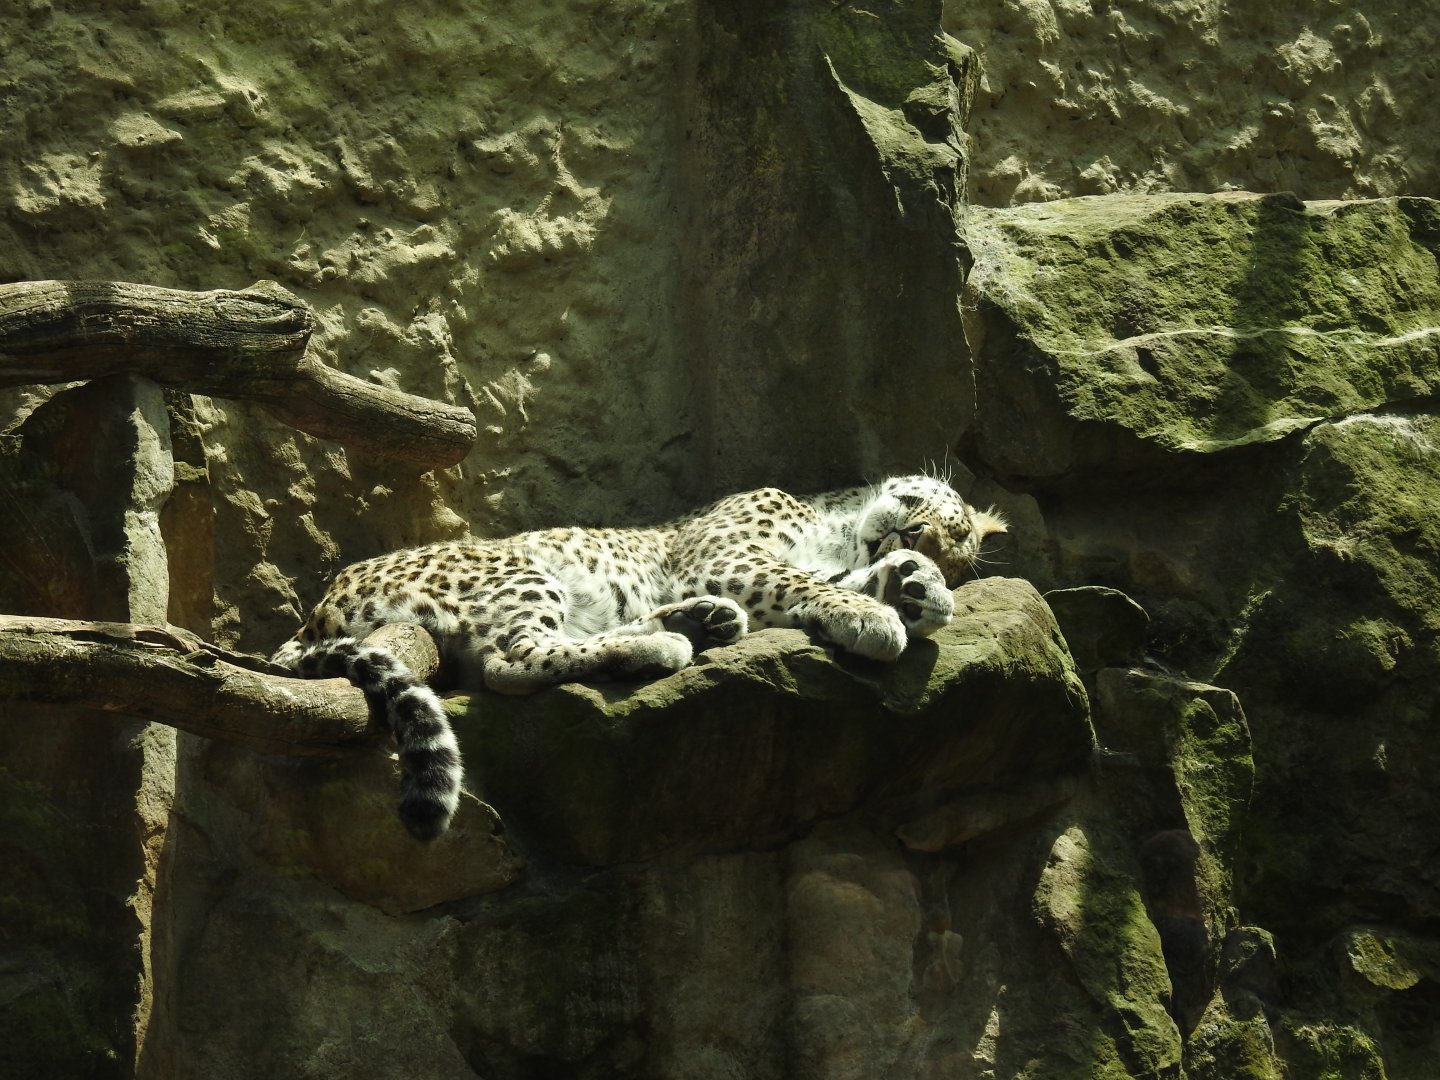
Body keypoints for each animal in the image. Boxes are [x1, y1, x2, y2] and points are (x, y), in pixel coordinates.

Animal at [271, 473, 1007, 841]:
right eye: (941, 518)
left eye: (945, 539)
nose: (912, 532)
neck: (841, 526)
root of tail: (317, 608)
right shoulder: (729, 555)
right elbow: (804, 581)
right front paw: (882, 611)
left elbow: (832, 580)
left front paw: (920, 588)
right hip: (515, 570)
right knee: (513, 661)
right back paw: (666, 639)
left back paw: (701, 620)